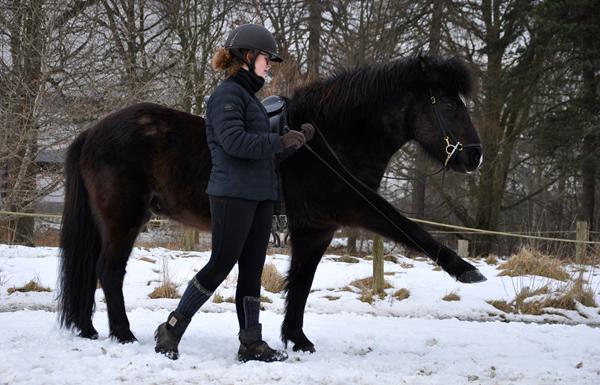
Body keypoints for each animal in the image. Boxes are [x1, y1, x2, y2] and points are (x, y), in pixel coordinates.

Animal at [58, 57, 486, 352]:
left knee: (94, 269)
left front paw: (297, 339)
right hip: (123, 220)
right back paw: (123, 334)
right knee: (110, 271)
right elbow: (409, 228)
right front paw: (466, 271)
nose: (475, 156)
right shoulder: (359, 207)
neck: (327, 142)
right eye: (450, 107)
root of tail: (93, 131)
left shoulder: (316, 231)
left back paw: (88, 328)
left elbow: (301, 284)